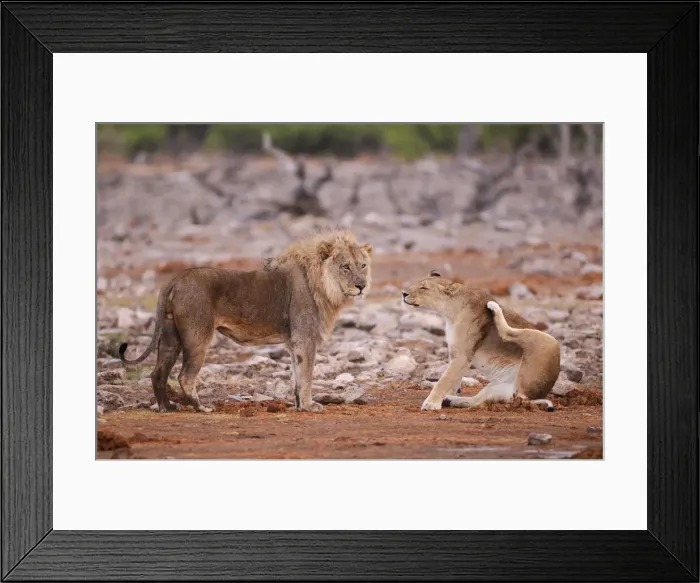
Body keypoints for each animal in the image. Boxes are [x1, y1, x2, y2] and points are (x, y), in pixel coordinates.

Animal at [119, 228, 373, 413]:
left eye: (363, 265)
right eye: (345, 267)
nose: (361, 286)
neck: (323, 286)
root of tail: (175, 279)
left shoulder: (294, 343)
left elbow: (297, 377)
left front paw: (300, 406)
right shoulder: (305, 339)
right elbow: (306, 376)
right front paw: (310, 407)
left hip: (171, 336)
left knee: (158, 373)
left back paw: (167, 407)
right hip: (198, 336)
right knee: (185, 376)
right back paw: (202, 408)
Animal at [402, 271, 561, 411]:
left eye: (424, 288)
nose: (403, 293)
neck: (450, 312)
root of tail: (530, 397)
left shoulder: (462, 355)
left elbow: (444, 380)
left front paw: (431, 404)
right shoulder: (457, 354)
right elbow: (454, 379)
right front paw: (446, 396)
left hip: (547, 340)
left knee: (507, 333)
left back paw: (494, 307)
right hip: (496, 389)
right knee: (475, 401)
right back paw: (450, 401)